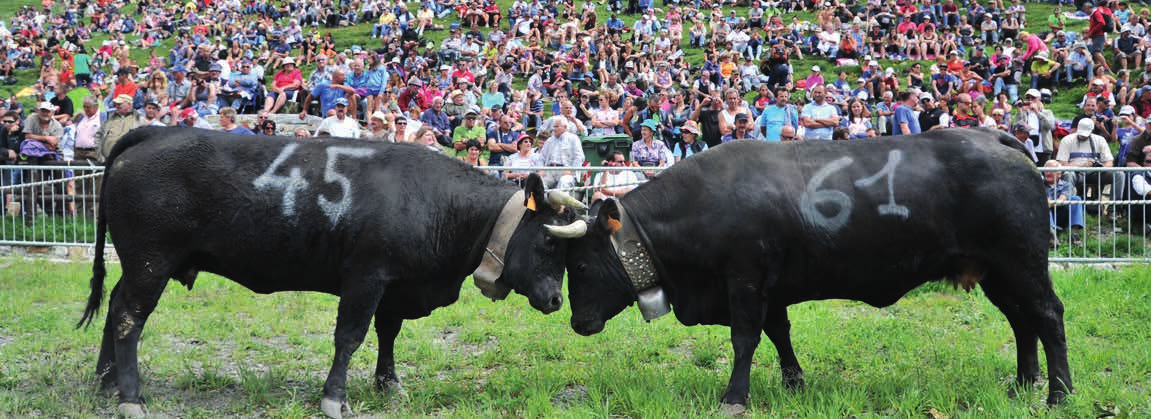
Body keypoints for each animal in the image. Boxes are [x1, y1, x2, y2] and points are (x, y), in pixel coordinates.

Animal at [76, 125, 589, 418]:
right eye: (548, 241)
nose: (555, 300)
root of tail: (156, 133)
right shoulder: (366, 277)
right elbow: (351, 336)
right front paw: (334, 397)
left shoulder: (397, 285)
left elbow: (387, 333)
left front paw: (388, 385)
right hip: (150, 262)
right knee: (129, 317)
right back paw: (131, 397)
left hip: (140, 264)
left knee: (115, 309)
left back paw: (106, 382)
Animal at [552, 127, 1072, 409]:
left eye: (582, 263)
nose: (577, 322)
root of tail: (993, 136)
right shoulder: (772, 288)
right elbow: (778, 332)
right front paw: (794, 381)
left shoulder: (744, 278)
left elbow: (745, 338)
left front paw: (734, 396)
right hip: (996, 271)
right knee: (1021, 320)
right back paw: (1023, 383)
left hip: (1021, 262)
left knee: (1047, 316)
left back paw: (1059, 393)